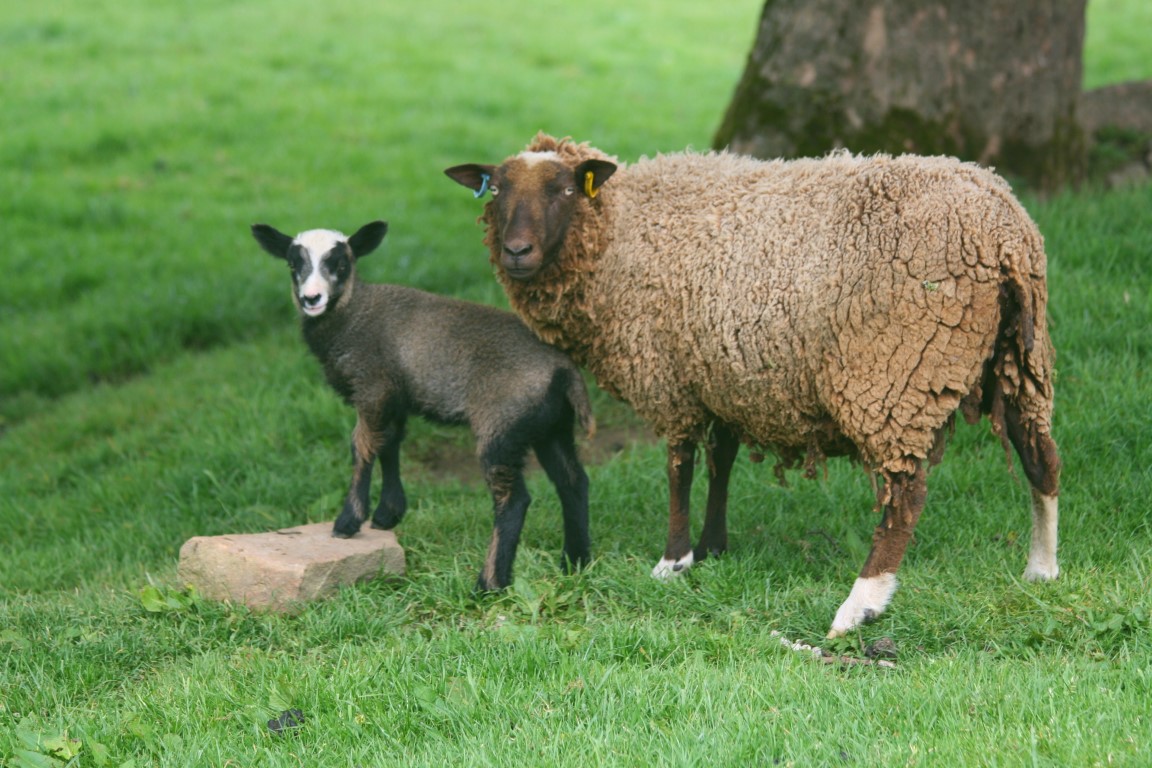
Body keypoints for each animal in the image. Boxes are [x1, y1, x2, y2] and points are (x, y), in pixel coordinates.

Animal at [252, 218, 594, 594]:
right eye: (292, 264)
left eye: (340, 265)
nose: (311, 298)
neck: (353, 313)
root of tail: (565, 372)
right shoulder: (395, 395)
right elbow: (389, 443)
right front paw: (387, 514)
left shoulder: (373, 385)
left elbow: (361, 446)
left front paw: (348, 521)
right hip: (549, 425)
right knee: (573, 481)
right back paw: (575, 562)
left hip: (502, 425)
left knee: (513, 498)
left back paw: (489, 583)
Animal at [446, 133, 1059, 635]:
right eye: (496, 191)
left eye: (566, 189)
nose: (516, 252)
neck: (619, 231)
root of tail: (1003, 234)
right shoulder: (721, 374)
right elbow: (721, 460)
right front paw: (712, 547)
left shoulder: (668, 375)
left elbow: (679, 467)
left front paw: (673, 561)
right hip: (1019, 360)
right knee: (1041, 460)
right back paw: (1042, 569)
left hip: (894, 371)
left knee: (906, 495)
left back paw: (861, 604)